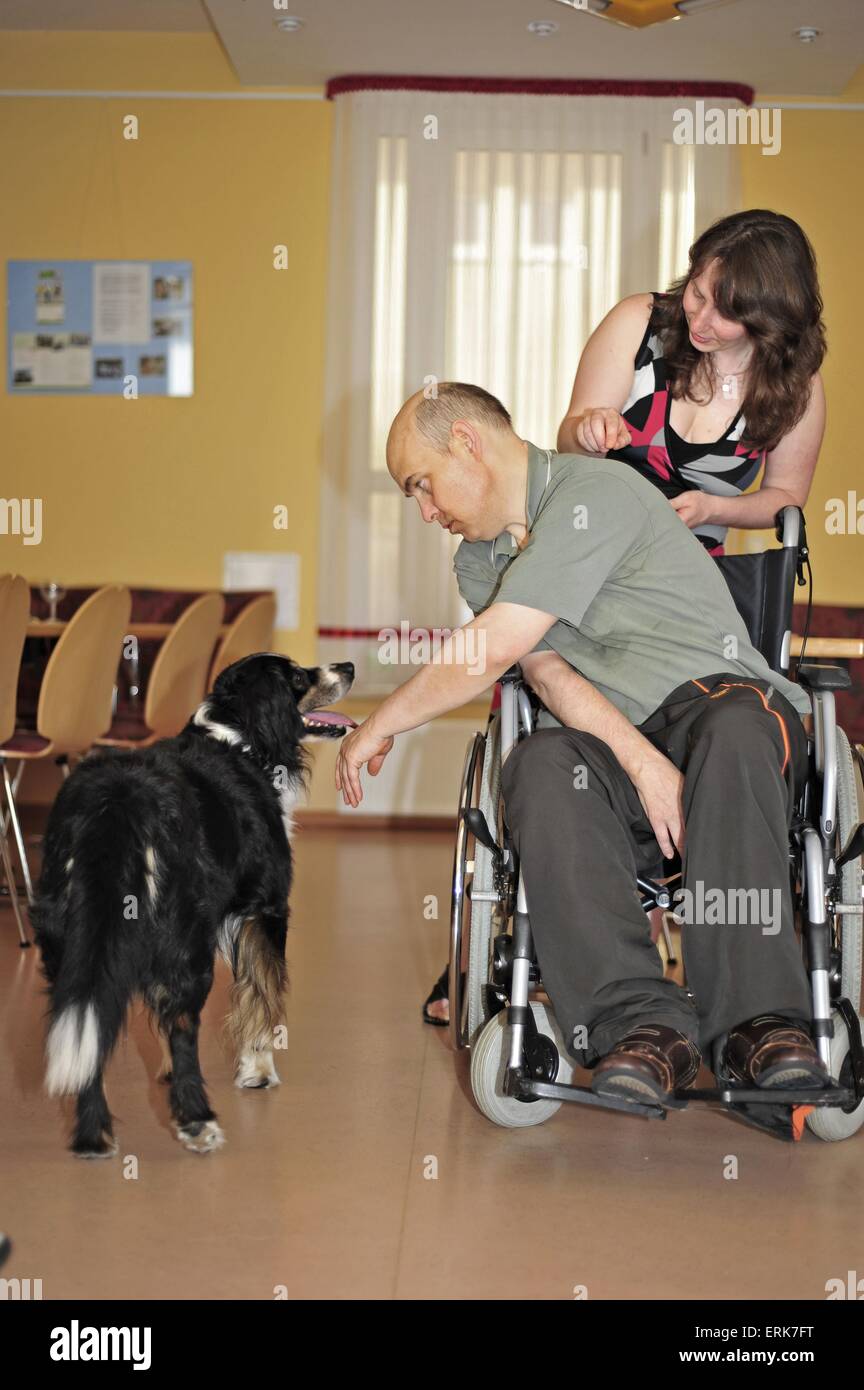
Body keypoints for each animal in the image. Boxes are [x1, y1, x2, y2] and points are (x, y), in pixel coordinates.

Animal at [31, 656, 355, 1156]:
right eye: (300, 677)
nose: (350, 665)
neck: (241, 738)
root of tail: (116, 801)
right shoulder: (265, 909)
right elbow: (260, 998)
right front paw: (258, 1072)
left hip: (69, 943)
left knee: (92, 1027)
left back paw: (94, 1137)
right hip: (186, 940)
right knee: (185, 1027)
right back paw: (197, 1122)